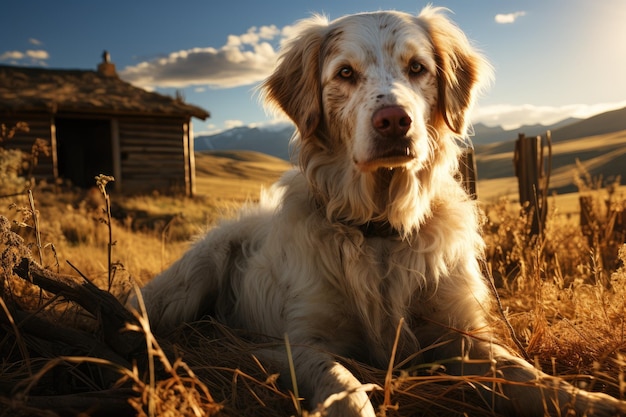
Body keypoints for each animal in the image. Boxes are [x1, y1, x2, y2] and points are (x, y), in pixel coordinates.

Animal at [135, 6, 624, 416]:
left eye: (417, 68)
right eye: (345, 73)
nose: (393, 121)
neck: (379, 229)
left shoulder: (460, 335)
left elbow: (526, 374)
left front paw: (592, 400)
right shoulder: (291, 342)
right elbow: (342, 380)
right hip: (186, 282)